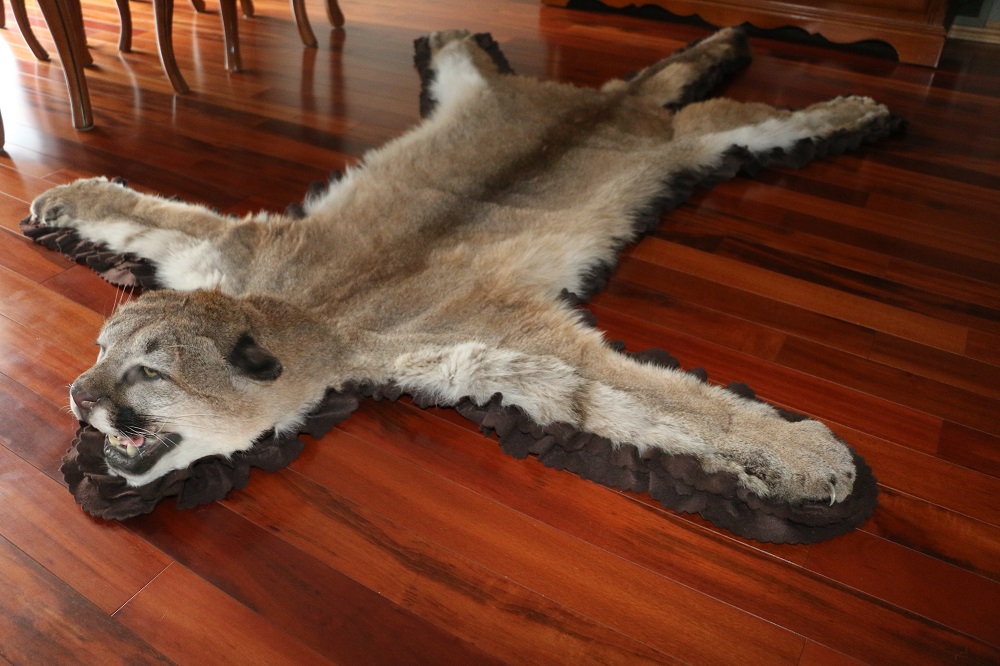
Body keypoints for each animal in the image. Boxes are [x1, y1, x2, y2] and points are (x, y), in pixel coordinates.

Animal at [27, 28, 895, 533]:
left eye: (149, 373)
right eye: (100, 349)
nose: (76, 394)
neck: (307, 309)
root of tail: (608, 101)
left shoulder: (498, 340)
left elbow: (664, 399)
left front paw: (808, 456)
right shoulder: (233, 247)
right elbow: (147, 212)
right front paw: (65, 200)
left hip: (692, 140)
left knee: (743, 116)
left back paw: (856, 110)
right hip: (494, 95)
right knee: (482, 66)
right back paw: (454, 36)